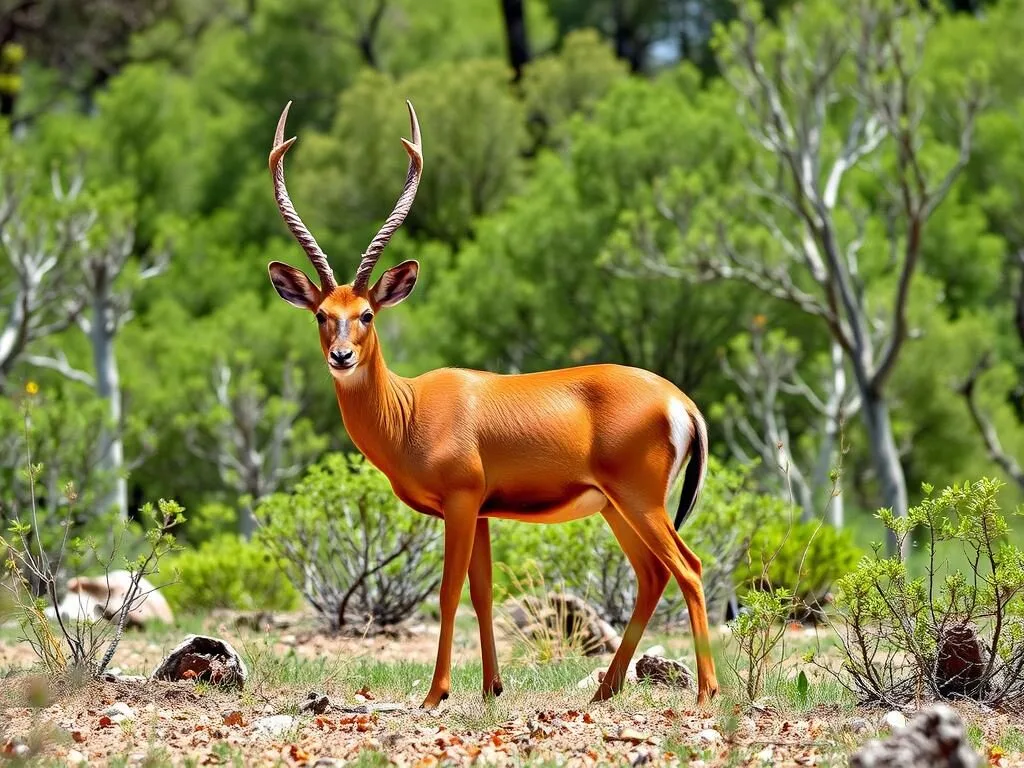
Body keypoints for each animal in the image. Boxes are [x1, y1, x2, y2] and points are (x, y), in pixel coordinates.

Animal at [265, 99, 719, 709]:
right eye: (321, 314)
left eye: (366, 314)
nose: (341, 356)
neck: (409, 412)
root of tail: (682, 402)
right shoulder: (481, 511)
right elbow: (482, 592)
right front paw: (491, 687)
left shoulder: (460, 502)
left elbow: (449, 592)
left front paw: (436, 694)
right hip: (615, 507)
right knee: (652, 575)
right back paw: (605, 691)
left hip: (640, 501)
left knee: (688, 568)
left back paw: (706, 692)